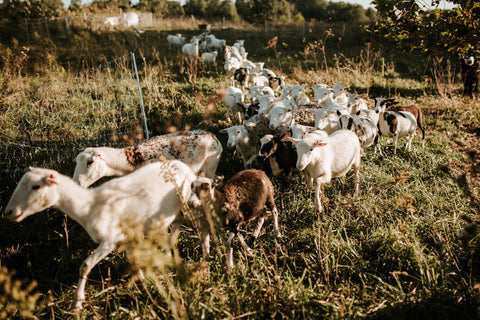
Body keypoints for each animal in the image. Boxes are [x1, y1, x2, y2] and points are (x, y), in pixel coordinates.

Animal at [5, 161, 197, 312]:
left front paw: (77, 303)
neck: (87, 206)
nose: (8, 212)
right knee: (177, 222)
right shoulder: (125, 238)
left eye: (36, 187)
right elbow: (133, 260)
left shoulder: (109, 241)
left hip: (187, 201)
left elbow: (85, 265)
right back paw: (170, 247)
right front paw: (142, 282)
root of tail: (182, 164)